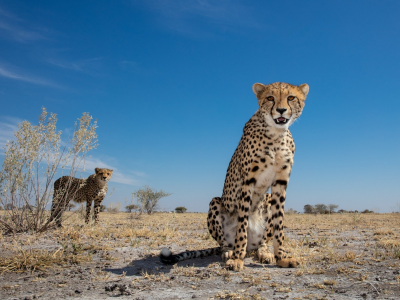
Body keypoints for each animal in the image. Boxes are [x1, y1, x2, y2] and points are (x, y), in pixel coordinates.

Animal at [160, 81, 310, 270]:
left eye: (291, 98)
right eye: (270, 98)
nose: (281, 110)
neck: (276, 133)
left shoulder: (281, 181)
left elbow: (279, 223)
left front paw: (282, 257)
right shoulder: (248, 180)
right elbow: (242, 223)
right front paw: (238, 258)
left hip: (266, 202)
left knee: (261, 243)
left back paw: (264, 253)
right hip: (215, 203)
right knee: (224, 243)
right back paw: (230, 252)